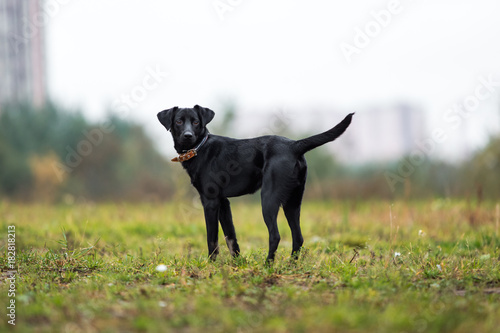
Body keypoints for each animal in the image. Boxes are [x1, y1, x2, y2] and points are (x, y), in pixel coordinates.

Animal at [158, 105, 354, 260]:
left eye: (196, 122)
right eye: (179, 121)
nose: (188, 135)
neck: (201, 147)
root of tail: (294, 145)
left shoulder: (210, 202)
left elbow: (212, 239)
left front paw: (211, 266)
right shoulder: (224, 203)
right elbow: (231, 237)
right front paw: (238, 264)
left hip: (268, 199)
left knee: (275, 235)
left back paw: (268, 266)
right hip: (292, 202)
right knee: (298, 237)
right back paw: (291, 266)